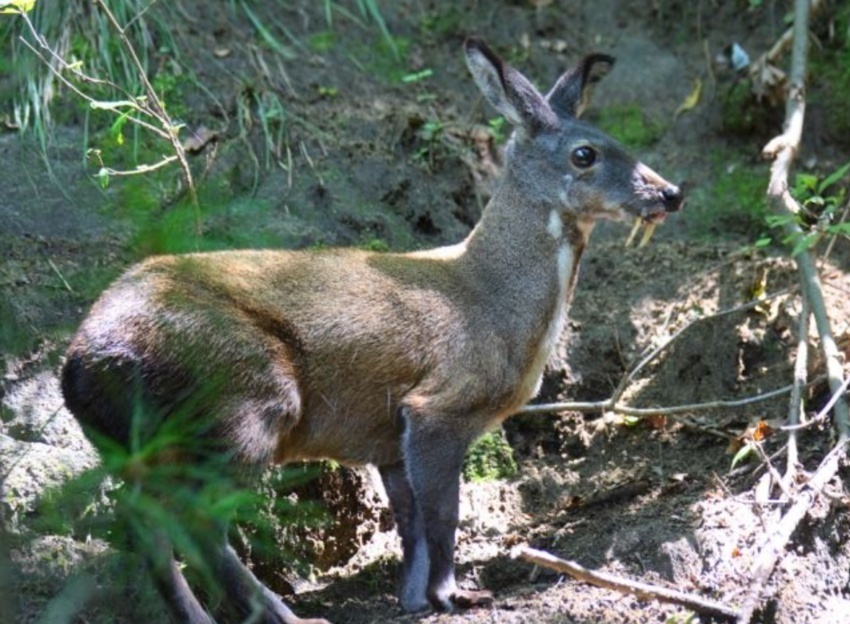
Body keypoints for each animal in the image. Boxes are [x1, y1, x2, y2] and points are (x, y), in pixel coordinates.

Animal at [61, 39, 684, 624]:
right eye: (586, 153)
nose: (670, 193)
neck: (492, 303)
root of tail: (80, 363)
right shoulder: (440, 405)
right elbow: (443, 514)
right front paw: (453, 595)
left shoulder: (387, 435)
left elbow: (410, 523)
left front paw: (414, 600)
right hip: (241, 398)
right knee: (194, 521)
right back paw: (291, 614)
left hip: (142, 442)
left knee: (144, 521)